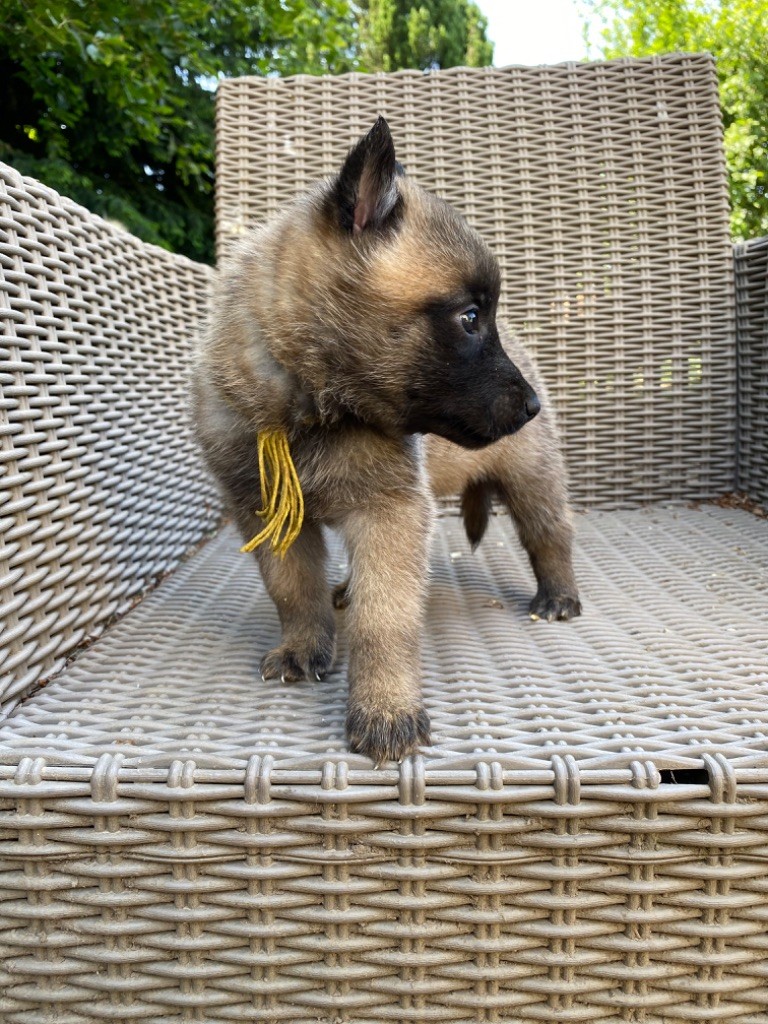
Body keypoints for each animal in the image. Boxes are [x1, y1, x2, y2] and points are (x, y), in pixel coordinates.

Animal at [192, 117, 580, 762]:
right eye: (470, 318)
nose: (532, 407)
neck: (310, 405)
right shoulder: (267, 513)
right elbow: (292, 589)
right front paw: (305, 645)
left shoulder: (390, 513)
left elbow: (385, 620)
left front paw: (385, 708)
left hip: (533, 480)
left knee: (550, 536)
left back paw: (559, 596)